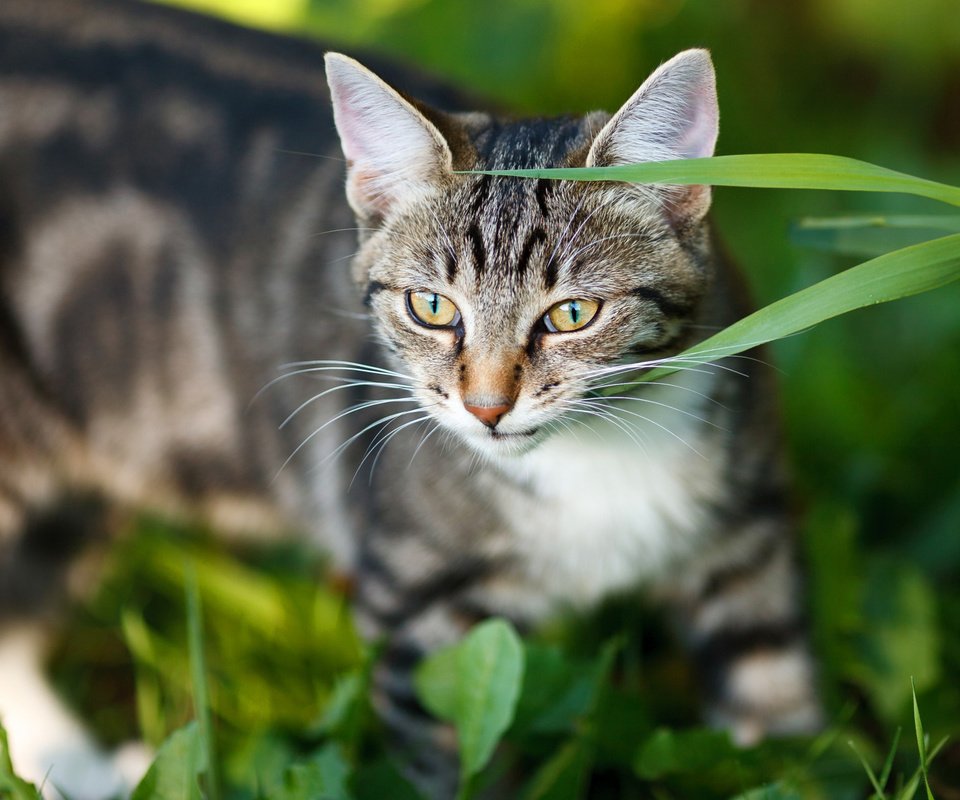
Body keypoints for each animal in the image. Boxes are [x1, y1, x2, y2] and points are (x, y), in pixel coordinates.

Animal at [1, 3, 816, 796]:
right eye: (431, 307)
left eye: (573, 315)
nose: (487, 406)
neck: (598, 457)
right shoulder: (421, 607)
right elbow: (456, 758)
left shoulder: (747, 532)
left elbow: (775, 691)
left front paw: (790, 762)